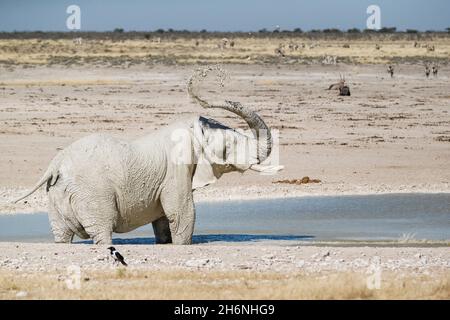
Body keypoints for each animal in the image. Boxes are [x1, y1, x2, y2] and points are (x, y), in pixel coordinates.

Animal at [13, 66, 282, 244]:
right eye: (231, 143)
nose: (205, 74)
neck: (192, 130)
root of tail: (55, 166)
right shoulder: (176, 170)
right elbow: (181, 212)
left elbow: (163, 218)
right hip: (91, 193)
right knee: (102, 230)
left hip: (56, 194)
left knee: (62, 235)